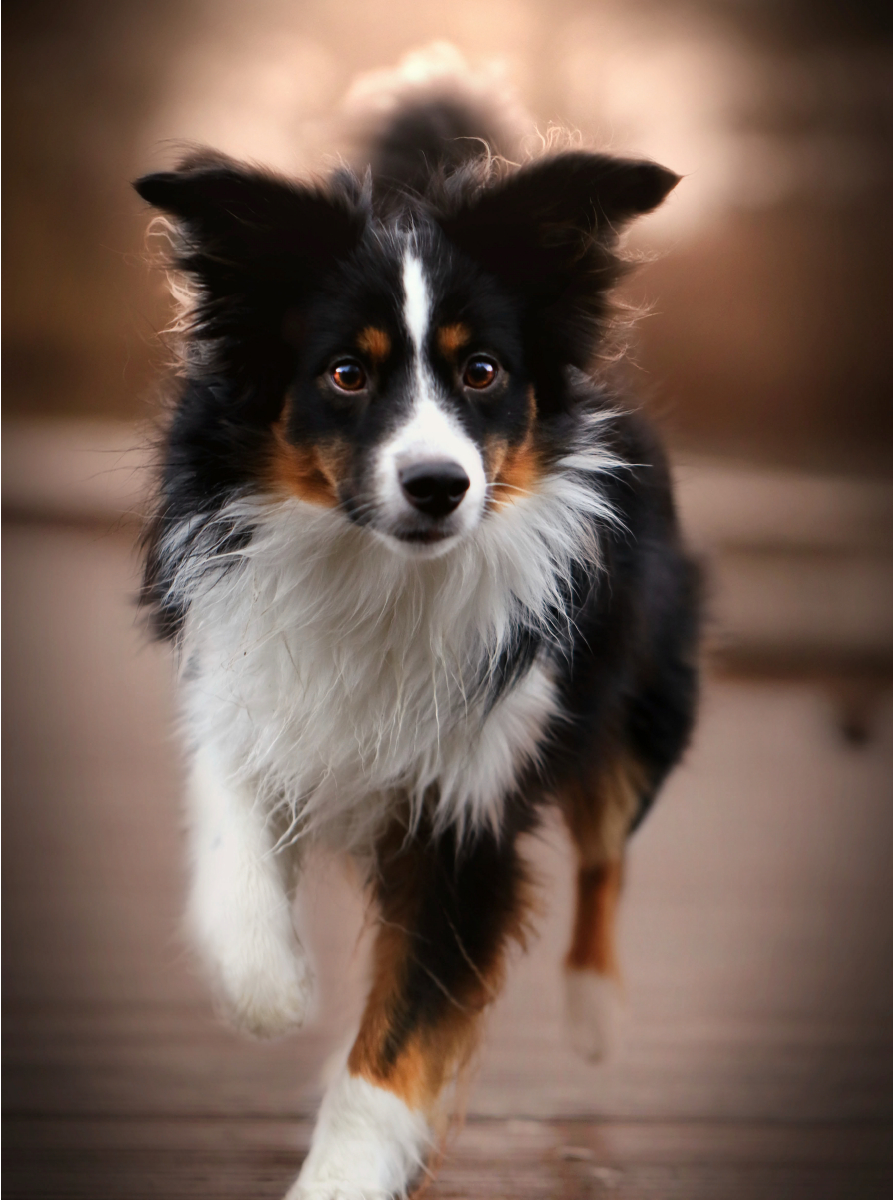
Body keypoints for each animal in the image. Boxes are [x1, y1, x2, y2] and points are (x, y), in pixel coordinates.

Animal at [136, 72, 700, 1200]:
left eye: (479, 371)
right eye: (346, 375)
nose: (439, 485)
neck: (380, 571)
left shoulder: (466, 819)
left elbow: (397, 1047)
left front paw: (342, 1175)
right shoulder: (246, 679)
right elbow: (232, 823)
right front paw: (267, 984)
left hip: (640, 704)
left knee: (605, 849)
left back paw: (593, 1016)